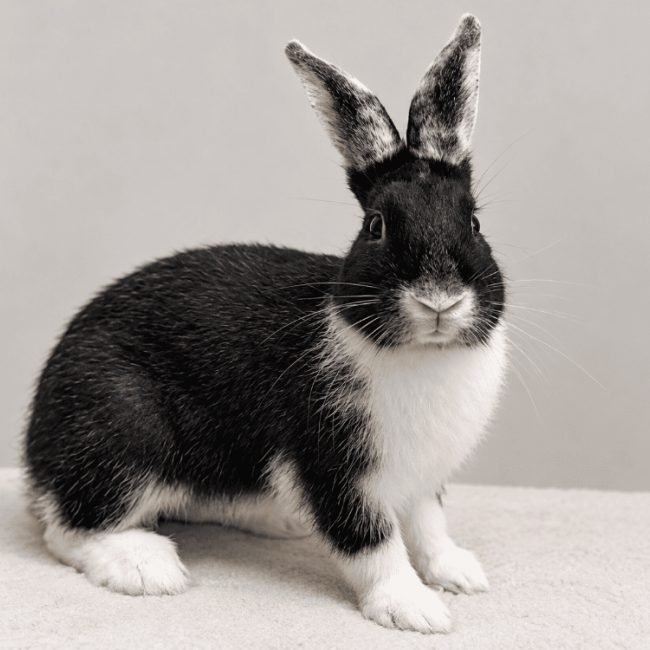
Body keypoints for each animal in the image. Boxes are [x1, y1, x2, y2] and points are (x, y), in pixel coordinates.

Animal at [24, 14, 507, 634]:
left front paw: (459, 575)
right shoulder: (333, 468)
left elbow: (429, 526)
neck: (423, 355)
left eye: (473, 223)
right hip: (125, 437)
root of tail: (36, 445)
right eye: (375, 226)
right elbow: (371, 542)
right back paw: (144, 567)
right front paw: (415, 610)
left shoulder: (421, 478)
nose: (439, 300)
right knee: (68, 529)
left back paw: (281, 522)